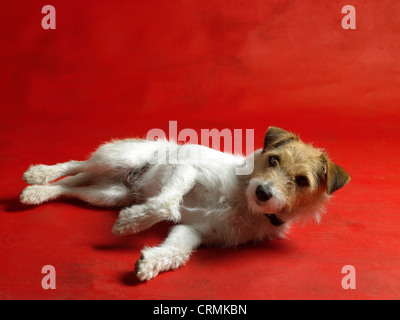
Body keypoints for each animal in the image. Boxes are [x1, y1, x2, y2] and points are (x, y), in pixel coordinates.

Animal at [20, 126, 350, 282]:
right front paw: (130, 224)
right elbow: (166, 205)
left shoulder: (194, 231)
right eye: (273, 160)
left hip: (107, 194)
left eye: (302, 180)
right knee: (74, 165)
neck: (242, 201)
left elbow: (178, 251)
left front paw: (151, 263)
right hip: (119, 159)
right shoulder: (188, 171)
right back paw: (38, 173)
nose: (263, 192)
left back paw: (37, 193)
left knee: (69, 187)